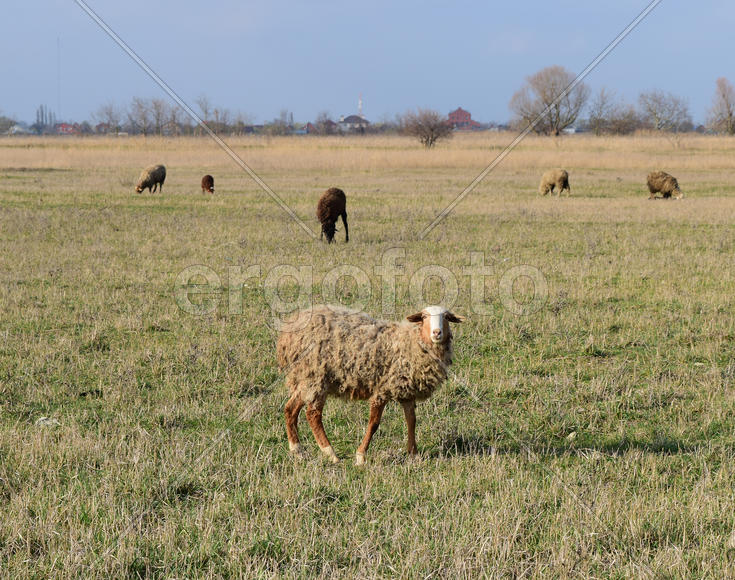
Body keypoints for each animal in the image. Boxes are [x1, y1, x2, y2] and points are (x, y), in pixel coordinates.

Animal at [277, 304, 464, 465]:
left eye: (446, 317)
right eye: (424, 317)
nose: (437, 332)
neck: (410, 342)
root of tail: (288, 334)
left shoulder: (406, 391)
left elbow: (411, 421)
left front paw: (414, 454)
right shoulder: (382, 390)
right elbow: (374, 424)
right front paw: (361, 456)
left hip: (305, 378)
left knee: (290, 409)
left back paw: (297, 450)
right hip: (317, 377)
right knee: (312, 414)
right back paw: (330, 453)